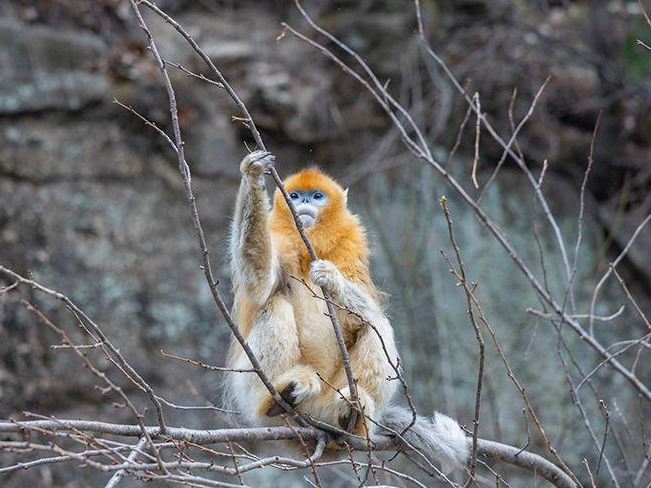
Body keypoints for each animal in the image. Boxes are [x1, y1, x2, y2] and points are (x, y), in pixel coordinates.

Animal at [226, 150, 468, 472]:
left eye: (317, 196)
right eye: (295, 195)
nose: (303, 203)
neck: (310, 247)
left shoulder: (352, 247)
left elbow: (366, 312)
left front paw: (332, 278)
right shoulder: (278, 239)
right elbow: (260, 283)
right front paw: (252, 173)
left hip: (334, 394)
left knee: (378, 325)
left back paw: (354, 416)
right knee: (273, 304)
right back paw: (275, 400)